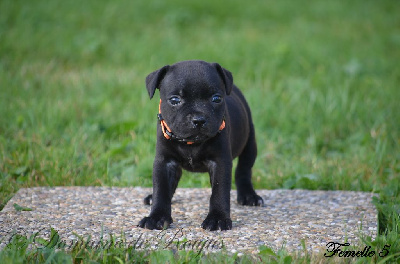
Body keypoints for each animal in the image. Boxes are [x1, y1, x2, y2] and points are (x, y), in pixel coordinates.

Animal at [138, 60, 262, 231]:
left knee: (244, 169)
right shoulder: (164, 161)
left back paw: (249, 195)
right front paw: (157, 217)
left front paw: (217, 219)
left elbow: (219, 191)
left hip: (249, 142)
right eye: (175, 100)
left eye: (216, 99)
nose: (198, 119)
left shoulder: (220, 162)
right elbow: (160, 189)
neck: (191, 143)